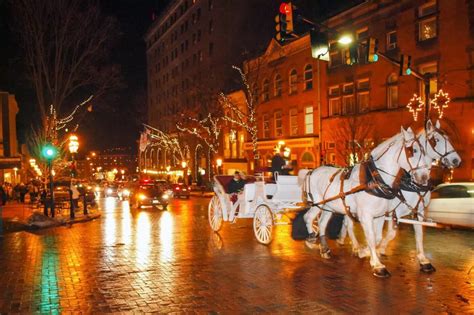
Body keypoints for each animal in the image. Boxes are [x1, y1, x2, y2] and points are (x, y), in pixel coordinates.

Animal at [300, 127, 430, 278]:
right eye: (413, 151)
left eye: (424, 150)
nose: (424, 177)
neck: (374, 179)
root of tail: (312, 171)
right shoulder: (366, 215)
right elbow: (371, 237)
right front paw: (378, 265)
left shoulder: (380, 215)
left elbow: (377, 237)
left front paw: (365, 253)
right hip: (318, 203)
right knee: (308, 217)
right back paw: (311, 239)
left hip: (329, 206)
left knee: (321, 223)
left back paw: (324, 249)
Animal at [338, 119, 462, 272]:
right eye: (436, 140)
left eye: (448, 138)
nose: (456, 160)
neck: (410, 183)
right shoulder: (393, 211)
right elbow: (389, 233)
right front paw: (374, 251)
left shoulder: (419, 211)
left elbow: (419, 234)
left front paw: (423, 259)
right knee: (349, 223)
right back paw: (355, 247)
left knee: (347, 221)